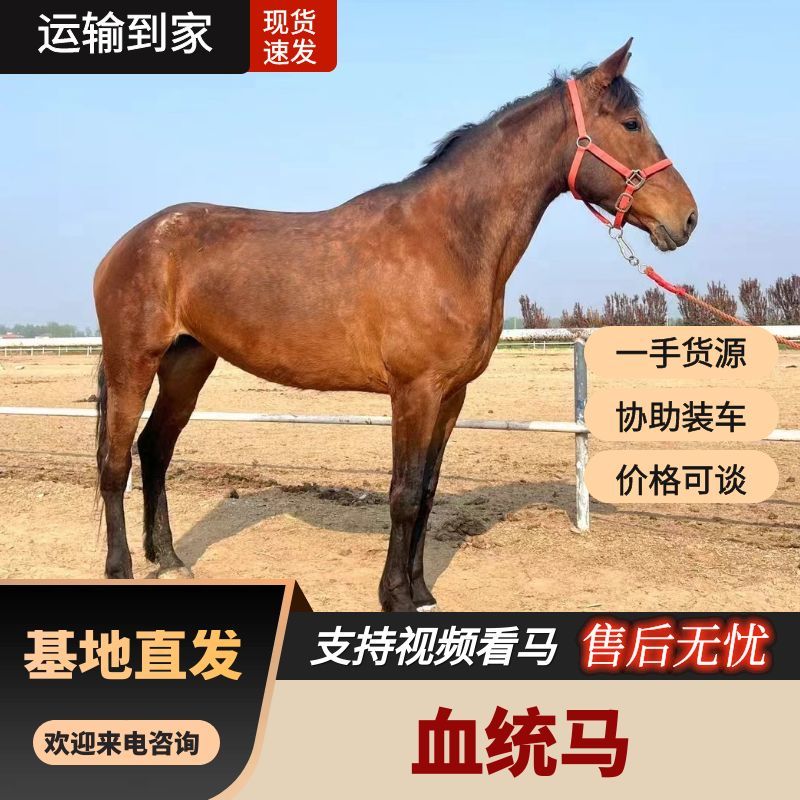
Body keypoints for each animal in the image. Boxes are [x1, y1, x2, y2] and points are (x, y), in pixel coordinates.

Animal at [93, 39, 697, 611]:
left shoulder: (450, 396)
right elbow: (404, 494)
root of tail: (128, 243)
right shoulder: (414, 391)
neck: (447, 241)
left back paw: (169, 559)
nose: (687, 218)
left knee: (155, 450)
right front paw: (396, 597)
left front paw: (423, 591)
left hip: (187, 364)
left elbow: (427, 492)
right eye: (631, 124)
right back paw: (120, 567)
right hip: (133, 363)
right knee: (116, 461)